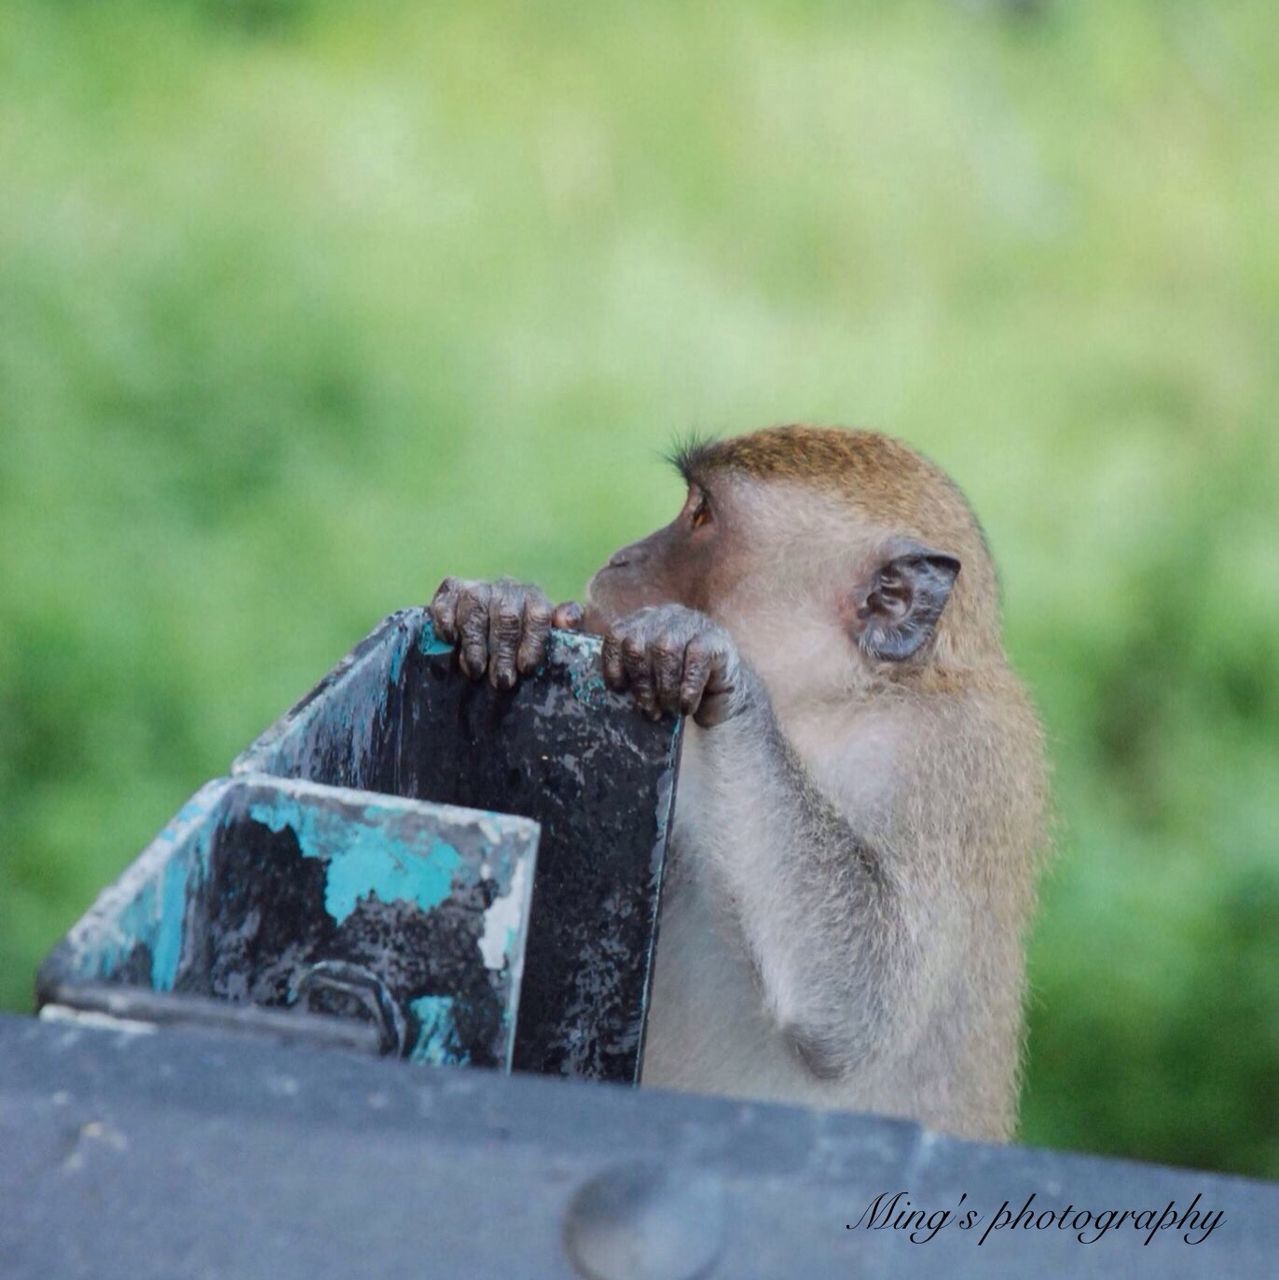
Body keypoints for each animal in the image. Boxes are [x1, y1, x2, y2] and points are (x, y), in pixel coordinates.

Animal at [430, 424, 1049, 1146]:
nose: (620, 558)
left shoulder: (946, 763)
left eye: (701, 517)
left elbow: (860, 1000)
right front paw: (503, 608)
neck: (837, 700)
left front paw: (715, 664)